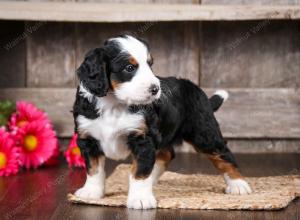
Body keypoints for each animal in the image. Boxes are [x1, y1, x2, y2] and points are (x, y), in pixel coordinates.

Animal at [72, 34, 251, 210]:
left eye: (150, 64)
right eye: (129, 68)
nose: (155, 89)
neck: (113, 103)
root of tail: (196, 89)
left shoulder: (143, 138)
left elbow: (140, 171)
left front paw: (140, 199)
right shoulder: (88, 138)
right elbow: (93, 169)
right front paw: (91, 192)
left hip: (203, 132)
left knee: (222, 153)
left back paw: (238, 184)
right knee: (167, 154)